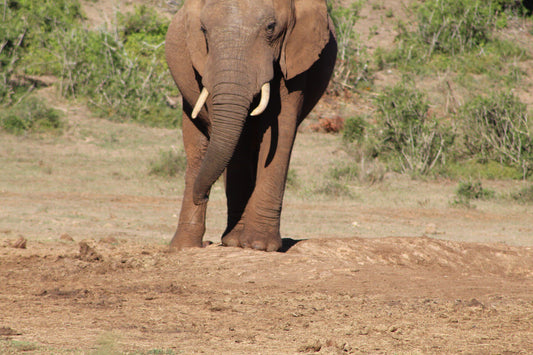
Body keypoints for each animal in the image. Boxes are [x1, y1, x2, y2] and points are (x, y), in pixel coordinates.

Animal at [164, 0, 336, 252]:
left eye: (271, 27)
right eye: (203, 30)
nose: (203, 196)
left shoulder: (293, 56)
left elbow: (281, 125)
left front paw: (258, 245)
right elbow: (239, 140)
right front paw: (238, 242)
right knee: (197, 151)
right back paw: (186, 247)